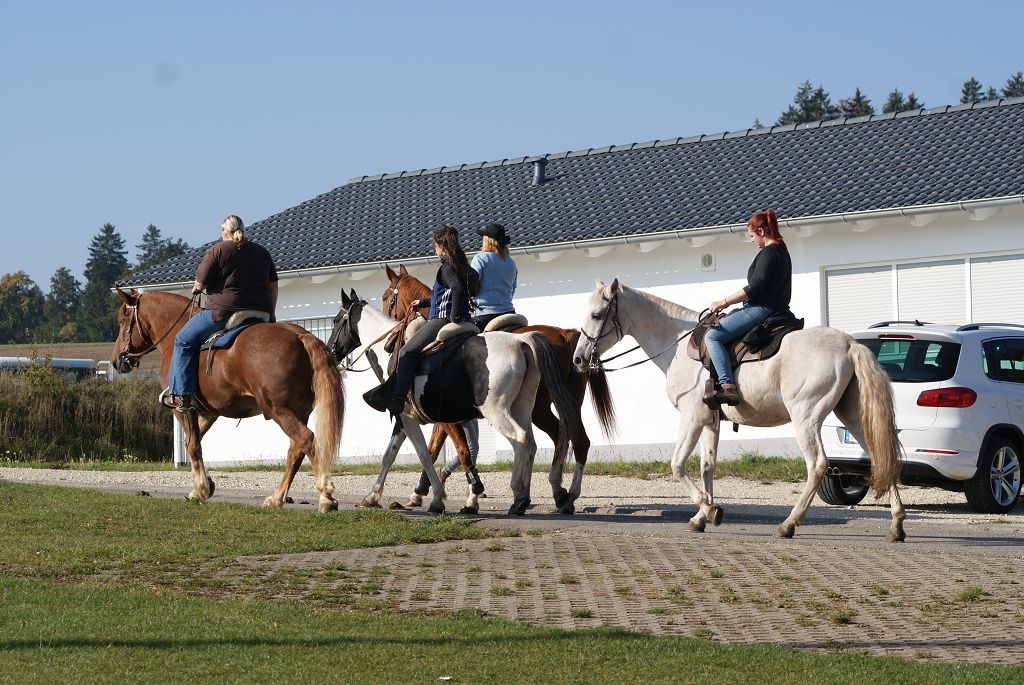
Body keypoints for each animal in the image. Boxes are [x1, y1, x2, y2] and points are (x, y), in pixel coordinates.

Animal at [111, 288, 345, 513]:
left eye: (122, 320)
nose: (116, 360)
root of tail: (299, 335)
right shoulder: (209, 413)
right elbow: (192, 442)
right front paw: (205, 484)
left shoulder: (183, 408)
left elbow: (193, 445)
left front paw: (201, 489)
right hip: (299, 411)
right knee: (295, 451)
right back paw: (277, 498)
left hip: (280, 410)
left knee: (306, 440)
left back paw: (325, 496)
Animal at [327, 288, 581, 515]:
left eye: (336, 320)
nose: (331, 351)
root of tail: (522, 342)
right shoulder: (406, 418)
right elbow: (391, 454)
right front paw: (372, 497)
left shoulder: (416, 418)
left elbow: (428, 454)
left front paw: (439, 498)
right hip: (523, 408)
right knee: (535, 442)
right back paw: (535, 495)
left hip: (498, 411)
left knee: (522, 439)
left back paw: (521, 496)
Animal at [381, 264, 616, 514]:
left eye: (386, 297)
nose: (387, 343)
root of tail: (564, 334)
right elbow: (440, 448)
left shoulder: (443, 413)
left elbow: (440, 449)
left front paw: (428, 493)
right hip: (566, 402)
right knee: (575, 439)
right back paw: (561, 495)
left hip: (540, 408)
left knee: (554, 436)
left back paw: (550, 492)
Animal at [572, 279, 906, 542]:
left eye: (597, 314)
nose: (578, 359)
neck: (677, 345)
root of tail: (849, 344)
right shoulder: (710, 421)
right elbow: (707, 467)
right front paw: (702, 517)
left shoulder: (691, 417)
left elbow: (677, 465)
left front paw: (709, 509)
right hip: (852, 415)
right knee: (880, 456)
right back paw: (897, 525)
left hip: (806, 419)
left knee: (818, 465)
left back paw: (788, 524)